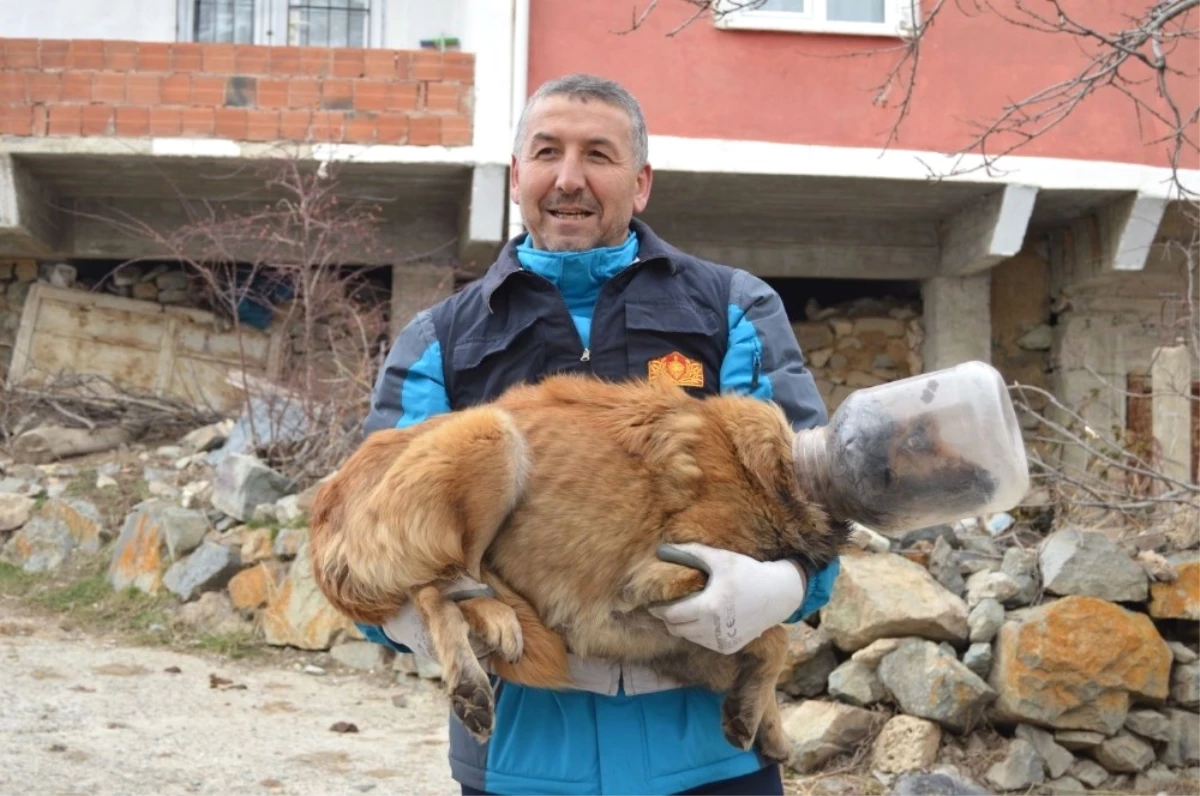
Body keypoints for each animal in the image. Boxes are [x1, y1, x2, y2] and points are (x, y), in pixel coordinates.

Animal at [309, 376, 854, 763]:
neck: (771, 475)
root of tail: (329, 491)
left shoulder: (669, 636)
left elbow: (762, 643)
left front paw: (765, 725)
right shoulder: (662, 590)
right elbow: (774, 639)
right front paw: (755, 714)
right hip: (492, 437)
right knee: (441, 581)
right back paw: (486, 636)